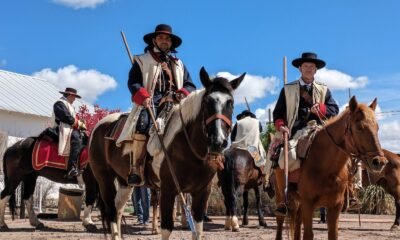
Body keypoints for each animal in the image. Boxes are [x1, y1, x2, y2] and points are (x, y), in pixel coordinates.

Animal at [89, 67, 245, 240]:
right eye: (206, 102)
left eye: (230, 103)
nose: (217, 141)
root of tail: (99, 126)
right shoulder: (168, 190)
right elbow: (166, 228)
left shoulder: (202, 192)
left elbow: (198, 230)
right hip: (104, 178)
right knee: (110, 210)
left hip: (125, 182)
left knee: (117, 209)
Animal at [276, 96, 388, 240]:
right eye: (359, 127)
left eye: (377, 128)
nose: (379, 162)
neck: (326, 167)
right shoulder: (308, 204)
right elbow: (308, 234)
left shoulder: (335, 206)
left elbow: (333, 234)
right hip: (281, 196)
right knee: (280, 220)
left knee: (297, 224)